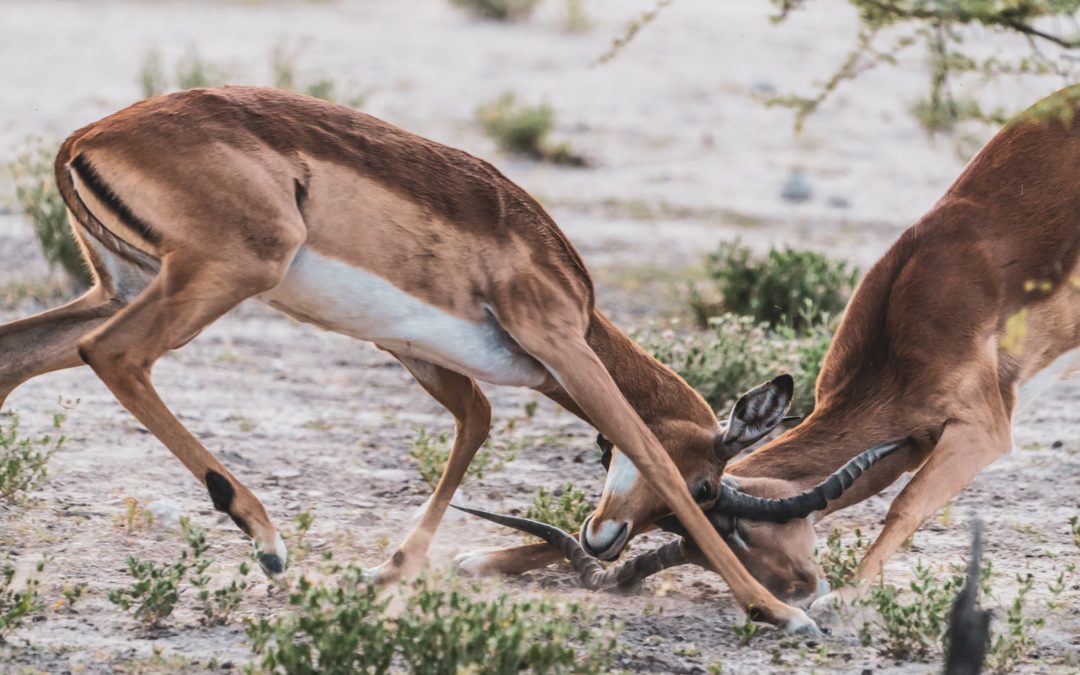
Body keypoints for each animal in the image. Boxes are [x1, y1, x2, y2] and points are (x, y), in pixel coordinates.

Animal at [0, 86, 816, 630]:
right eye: (709, 487)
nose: (604, 539)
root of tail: (86, 135)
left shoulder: (415, 351)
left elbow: (477, 422)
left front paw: (387, 573)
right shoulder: (559, 342)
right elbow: (645, 445)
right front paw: (776, 612)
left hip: (124, 282)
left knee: (18, 354)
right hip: (225, 273)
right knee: (113, 353)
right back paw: (266, 540)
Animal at [449, 85, 1080, 622]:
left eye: (718, 506)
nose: (798, 590)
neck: (906, 332)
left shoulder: (981, 431)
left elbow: (905, 506)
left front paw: (845, 598)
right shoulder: (906, 444)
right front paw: (485, 559)